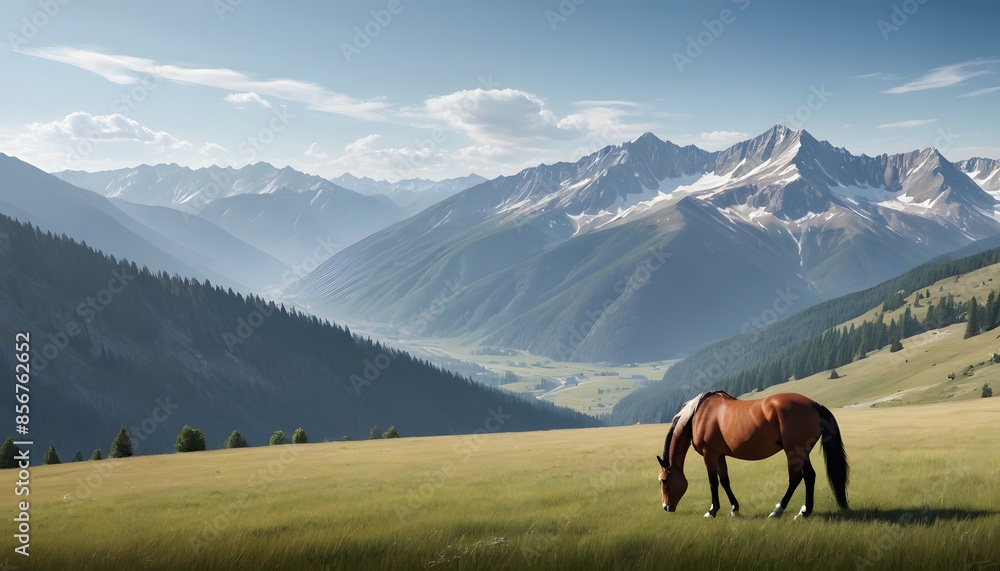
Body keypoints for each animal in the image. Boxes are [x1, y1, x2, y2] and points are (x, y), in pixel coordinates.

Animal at [656, 391, 849, 519]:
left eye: (664, 480)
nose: (666, 507)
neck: (699, 414)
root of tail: (814, 404)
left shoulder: (709, 454)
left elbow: (713, 482)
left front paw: (712, 511)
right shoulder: (720, 455)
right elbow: (724, 481)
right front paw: (734, 508)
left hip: (793, 451)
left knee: (797, 478)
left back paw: (780, 511)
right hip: (801, 452)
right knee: (809, 476)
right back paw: (804, 510)